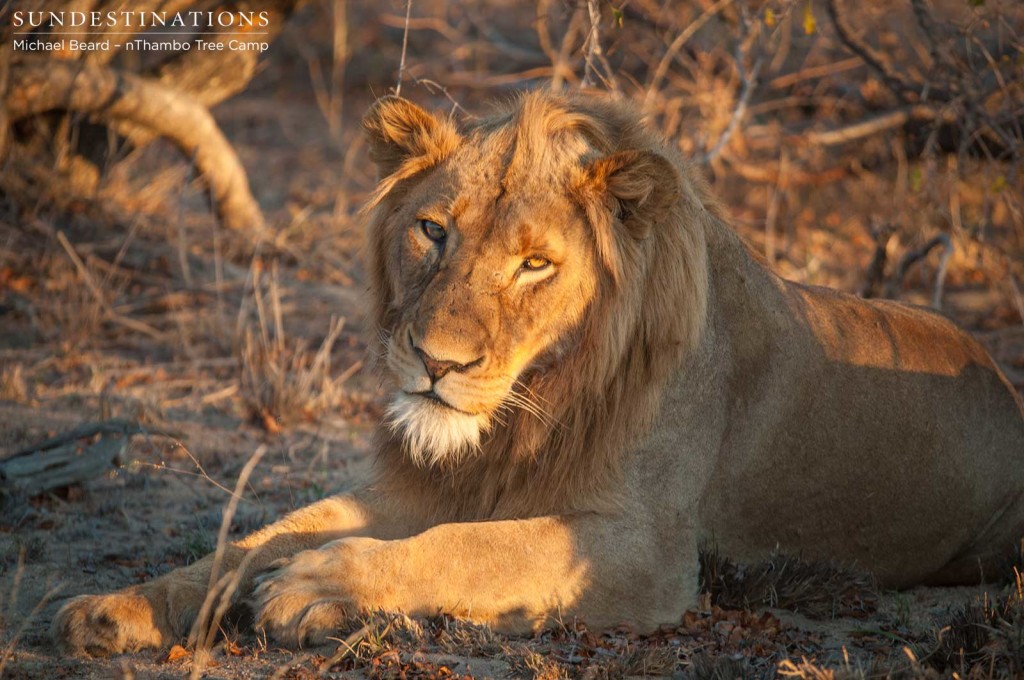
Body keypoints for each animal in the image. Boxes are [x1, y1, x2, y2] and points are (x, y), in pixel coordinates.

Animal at [51, 89, 1024, 655]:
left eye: (534, 265)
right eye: (432, 230)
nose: (436, 363)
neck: (526, 410)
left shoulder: (648, 547)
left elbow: (474, 546)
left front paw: (316, 587)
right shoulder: (421, 485)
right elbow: (257, 536)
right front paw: (121, 608)